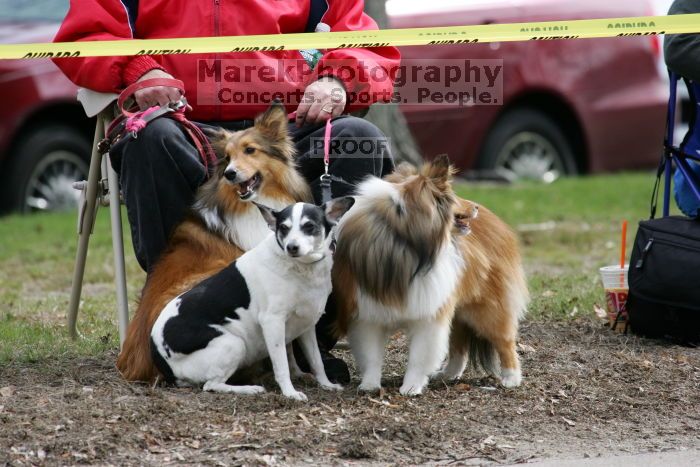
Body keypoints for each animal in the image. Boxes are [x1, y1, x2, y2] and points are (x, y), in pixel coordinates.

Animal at [117, 100, 312, 382]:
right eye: (227, 158)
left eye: (250, 150)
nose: (230, 174)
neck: (254, 204)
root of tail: (136, 361)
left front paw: (297, 371)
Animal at [150, 198, 352, 402]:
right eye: (283, 228)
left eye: (309, 226)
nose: (291, 247)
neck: (299, 267)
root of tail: (159, 358)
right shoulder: (272, 323)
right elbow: (282, 366)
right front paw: (289, 392)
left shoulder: (306, 326)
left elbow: (315, 360)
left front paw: (325, 384)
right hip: (234, 344)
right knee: (211, 385)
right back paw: (249, 389)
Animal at [334, 156, 532, 394]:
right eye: (453, 195)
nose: (475, 206)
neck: (402, 238)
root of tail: (496, 220)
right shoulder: (368, 311)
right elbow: (371, 354)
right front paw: (369, 385)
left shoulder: (429, 314)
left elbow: (419, 356)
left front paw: (411, 387)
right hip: (458, 308)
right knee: (459, 347)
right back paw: (448, 374)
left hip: (486, 308)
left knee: (505, 342)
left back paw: (511, 378)